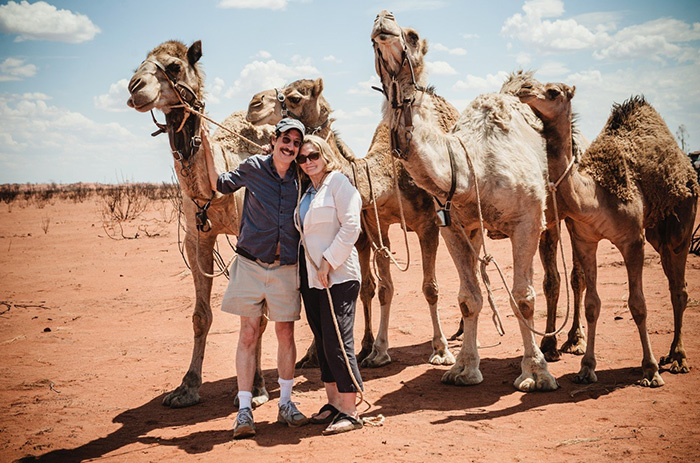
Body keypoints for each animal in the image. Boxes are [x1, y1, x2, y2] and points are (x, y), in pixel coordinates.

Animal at [127, 40, 274, 410]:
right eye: (138, 65)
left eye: (174, 66)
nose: (135, 88)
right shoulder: (197, 239)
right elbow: (200, 315)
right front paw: (186, 387)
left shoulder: (254, 238)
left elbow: (258, 313)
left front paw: (258, 387)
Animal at [243, 78, 468, 368]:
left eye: (294, 98)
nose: (254, 104)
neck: (388, 177)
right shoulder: (377, 226)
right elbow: (384, 288)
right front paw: (379, 352)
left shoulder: (428, 225)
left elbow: (430, 288)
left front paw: (440, 351)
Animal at [372, 10, 556, 392]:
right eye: (371, 35)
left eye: (413, 35)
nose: (383, 18)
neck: (473, 169)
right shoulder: (453, 227)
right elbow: (469, 298)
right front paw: (464, 369)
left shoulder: (527, 222)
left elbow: (524, 297)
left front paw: (536, 373)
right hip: (476, 231)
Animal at [516, 75, 700, 384]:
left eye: (553, 91)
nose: (524, 88)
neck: (594, 195)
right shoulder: (586, 239)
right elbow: (592, 304)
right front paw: (586, 368)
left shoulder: (632, 240)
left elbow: (638, 304)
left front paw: (650, 369)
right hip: (656, 231)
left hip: (682, 220)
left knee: (679, 288)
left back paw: (677, 357)